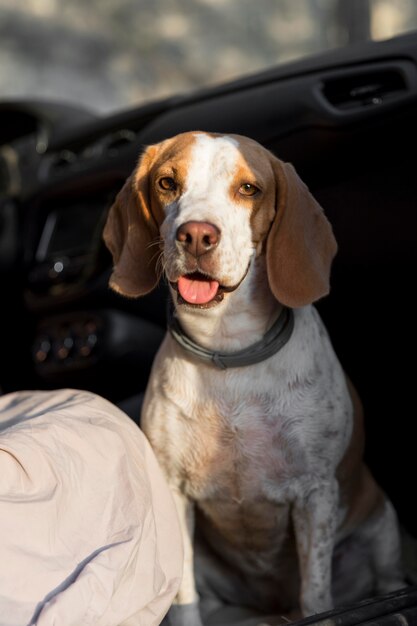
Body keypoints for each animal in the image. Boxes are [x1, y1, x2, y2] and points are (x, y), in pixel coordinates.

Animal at [103, 132, 404, 624]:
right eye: (167, 182)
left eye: (249, 189)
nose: (197, 235)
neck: (230, 352)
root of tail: (270, 603)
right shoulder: (175, 493)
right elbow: (185, 597)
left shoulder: (316, 495)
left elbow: (316, 594)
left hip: (381, 532)